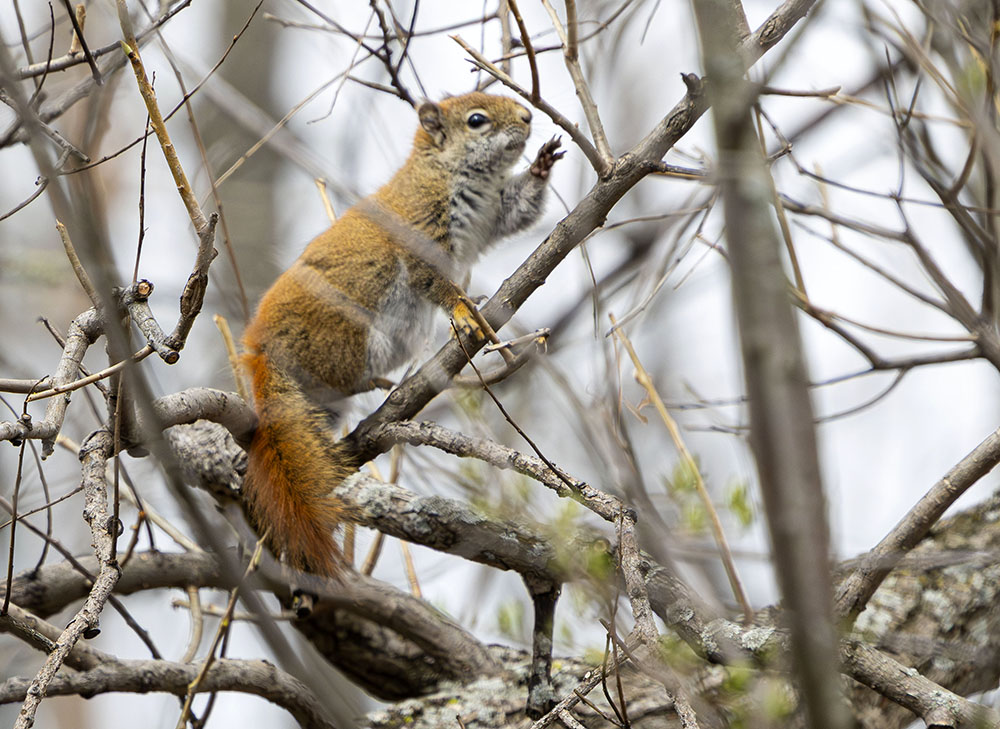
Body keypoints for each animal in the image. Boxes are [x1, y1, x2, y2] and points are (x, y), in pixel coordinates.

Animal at [241, 92, 564, 578]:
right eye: (477, 120)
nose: (527, 117)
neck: (451, 174)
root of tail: (263, 351)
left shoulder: (494, 212)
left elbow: (518, 210)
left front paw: (542, 164)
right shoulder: (420, 229)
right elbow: (435, 280)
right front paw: (463, 310)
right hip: (349, 337)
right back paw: (377, 383)